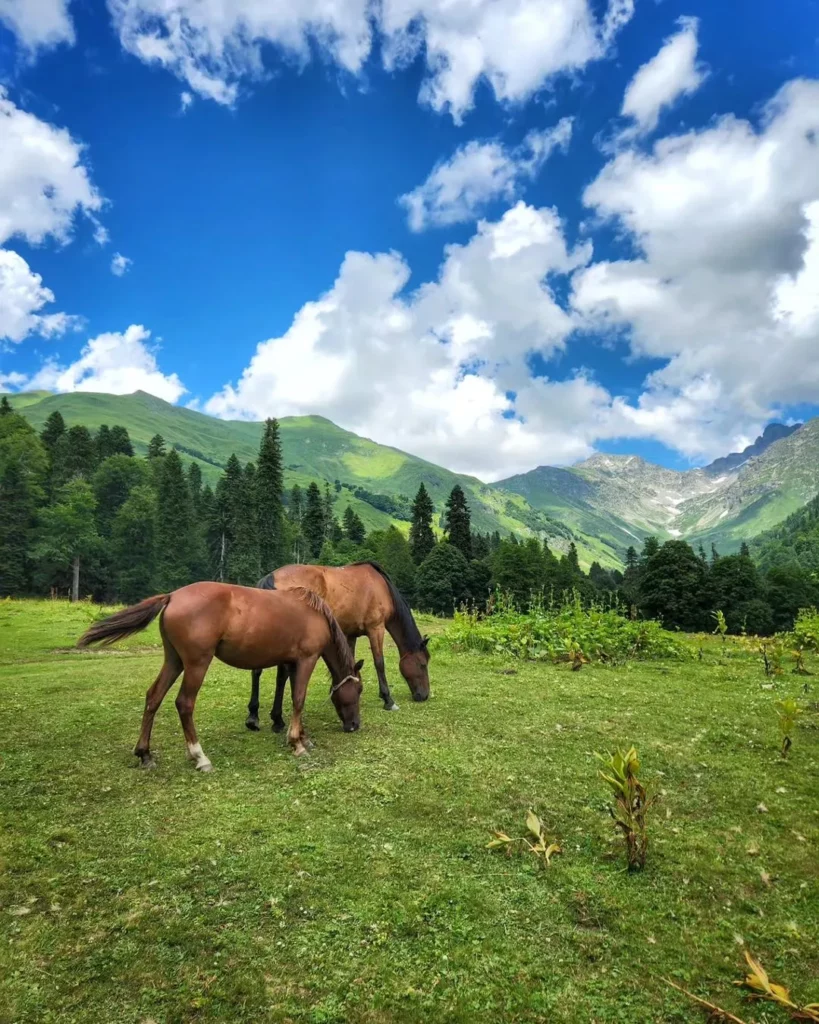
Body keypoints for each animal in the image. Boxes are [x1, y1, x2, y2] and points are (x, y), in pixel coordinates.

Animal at [76, 585, 364, 770]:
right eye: (359, 690)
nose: (355, 725)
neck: (315, 613)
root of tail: (172, 596)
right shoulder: (306, 660)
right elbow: (299, 699)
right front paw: (297, 744)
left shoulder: (292, 664)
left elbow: (295, 698)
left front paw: (302, 737)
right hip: (196, 663)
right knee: (184, 703)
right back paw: (199, 757)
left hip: (174, 661)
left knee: (153, 697)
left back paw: (145, 754)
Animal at [246, 561, 432, 737]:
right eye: (423, 665)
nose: (424, 695)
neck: (381, 587)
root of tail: (271, 577)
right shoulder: (376, 628)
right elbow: (379, 663)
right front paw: (388, 699)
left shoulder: (350, 634)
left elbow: (351, 660)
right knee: (282, 674)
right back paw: (276, 719)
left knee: (258, 671)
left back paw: (254, 716)